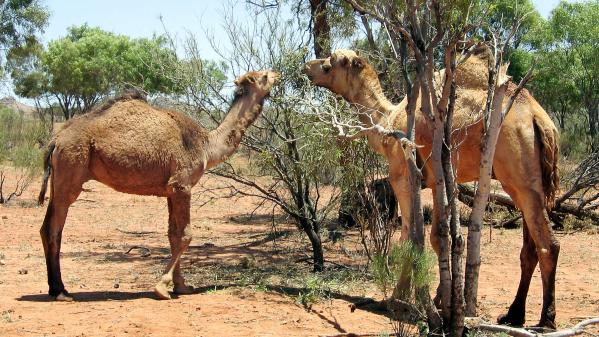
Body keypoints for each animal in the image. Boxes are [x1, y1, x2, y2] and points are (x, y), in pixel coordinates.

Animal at [37, 69, 282, 300]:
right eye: (264, 76)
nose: (278, 74)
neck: (206, 145)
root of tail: (56, 140)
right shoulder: (182, 185)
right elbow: (186, 235)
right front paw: (162, 288)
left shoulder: (170, 191)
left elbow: (173, 235)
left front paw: (182, 286)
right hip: (71, 170)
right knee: (54, 228)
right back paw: (61, 292)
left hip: (59, 179)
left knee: (47, 227)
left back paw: (55, 288)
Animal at [304, 50, 564, 328]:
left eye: (329, 64)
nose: (307, 66)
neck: (388, 121)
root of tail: (540, 120)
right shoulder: (438, 179)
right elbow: (439, 237)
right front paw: (442, 300)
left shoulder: (403, 175)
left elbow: (410, 235)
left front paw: (398, 299)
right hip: (525, 182)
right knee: (530, 248)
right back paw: (513, 315)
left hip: (519, 173)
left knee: (548, 244)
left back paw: (546, 320)